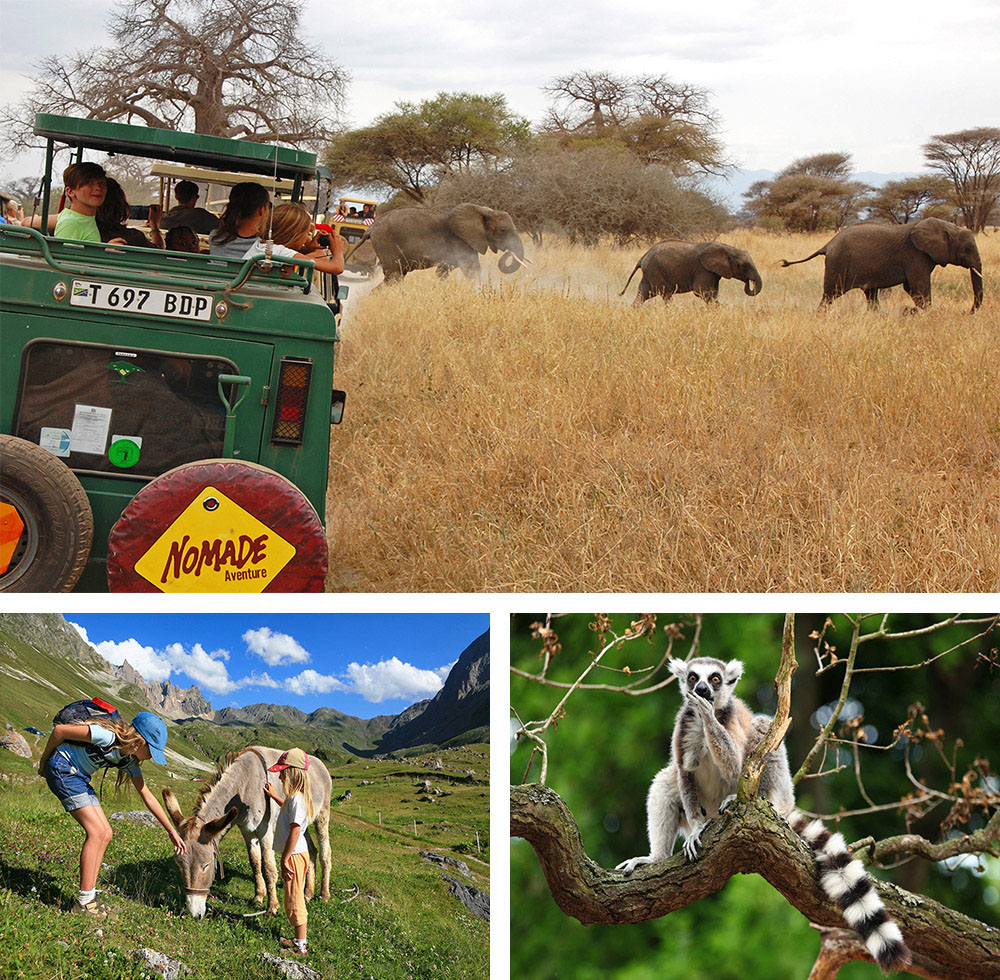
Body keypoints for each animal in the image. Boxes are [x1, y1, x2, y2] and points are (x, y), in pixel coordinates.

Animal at [364, 204, 528, 284]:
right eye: (503, 230)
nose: (506, 251)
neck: (483, 211)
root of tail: (371, 228)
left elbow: (447, 269)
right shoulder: (460, 239)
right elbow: (471, 269)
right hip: (386, 243)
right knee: (395, 276)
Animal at [616, 240, 764, 302]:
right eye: (744, 266)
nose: (749, 282)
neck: (727, 247)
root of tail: (642, 258)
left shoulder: (712, 272)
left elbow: (712, 293)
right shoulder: (703, 269)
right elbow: (702, 292)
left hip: (650, 273)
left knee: (643, 294)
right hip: (655, 271)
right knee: (666, 294)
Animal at [780, 216, 984, 312]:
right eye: (967, 248)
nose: (966, 312)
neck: (946, 226)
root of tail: (828, 244)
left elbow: (911, 288)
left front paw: (914, 311)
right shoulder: (915, 255)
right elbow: (919, 286)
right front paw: (921, 312)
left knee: (871, 295)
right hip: (837, 264)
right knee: (830, 295)